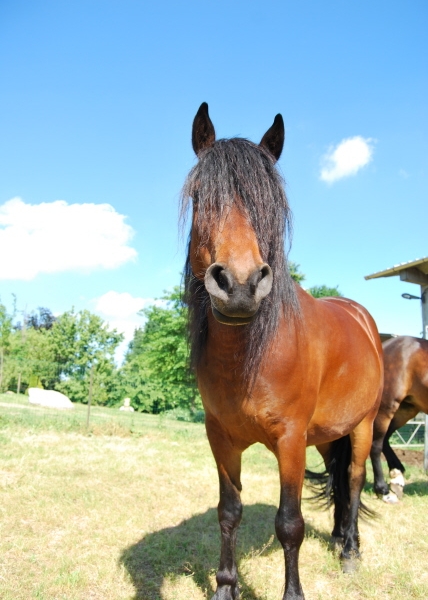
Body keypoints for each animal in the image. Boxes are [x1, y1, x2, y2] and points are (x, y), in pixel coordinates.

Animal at [182, 103, 382, 600]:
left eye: (269, 203)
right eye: (199, 194)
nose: (239, 285)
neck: (250, 357)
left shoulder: (290, 441)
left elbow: (290, 523)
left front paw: (293, 592)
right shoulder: (221, 438)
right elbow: (229, 512)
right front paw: (225, 587)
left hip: (364, 425)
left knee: (354, 481)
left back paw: (351, 552)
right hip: (328, 435)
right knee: (339, 481)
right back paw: (338, 539)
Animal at [370, 336, 426, 500]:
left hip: (404, 410)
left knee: (385, 440)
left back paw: (397, 475)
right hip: (386, 408)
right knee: (376, 445)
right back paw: (381, 488)